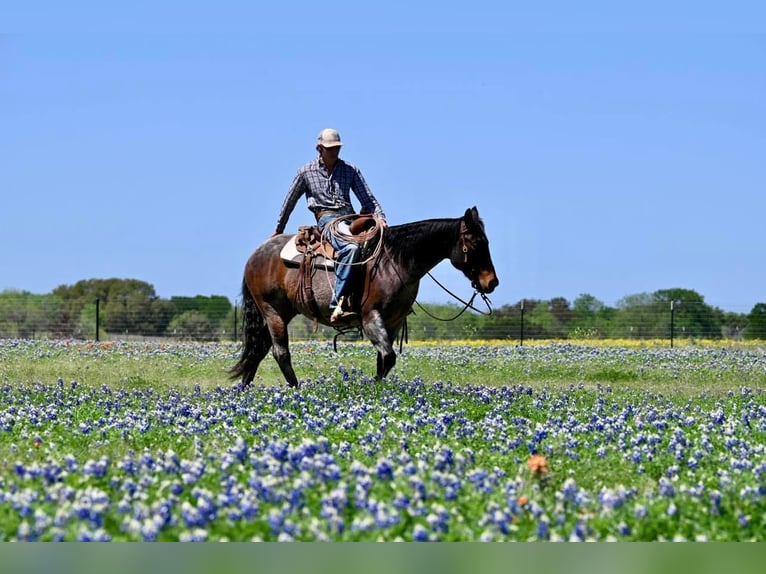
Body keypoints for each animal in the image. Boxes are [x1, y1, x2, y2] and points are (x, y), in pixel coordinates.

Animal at [231, 205, 500, 390]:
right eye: (475, 243)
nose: (492, 282)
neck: (395, 262)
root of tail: (256, 254)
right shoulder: (371, 318)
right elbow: (388, 356)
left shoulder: (393, 322)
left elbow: (384, 360)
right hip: (272, 312)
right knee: (280, 353)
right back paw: (295, 388)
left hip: (282, 313)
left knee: (260, 348)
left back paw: (245, 387)